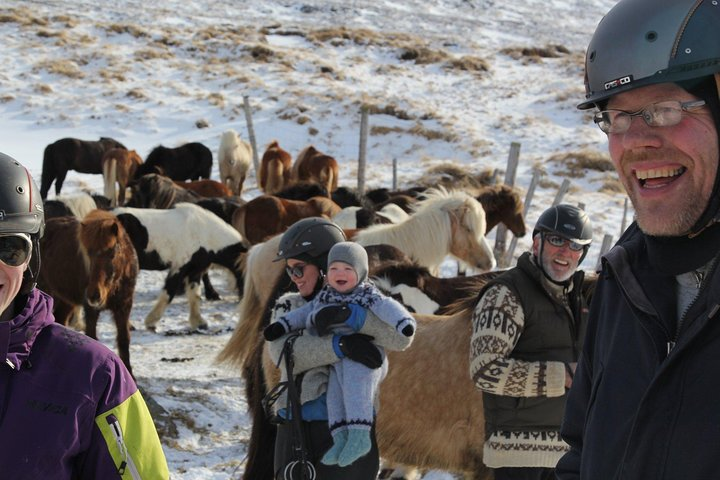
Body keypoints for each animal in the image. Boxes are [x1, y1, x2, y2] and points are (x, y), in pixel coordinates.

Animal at [37, 210, 139, 374]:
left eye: (112, 252)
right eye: (89, 253)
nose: (94, 294)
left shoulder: (124, 307)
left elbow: (124, 340)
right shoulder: (91, 310)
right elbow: (92, 336)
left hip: (66, 300)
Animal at [112, 203, 247, 331]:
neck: (203, 233)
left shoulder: (195, 271)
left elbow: (194, 296)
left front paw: (199, 323)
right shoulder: (179, 268)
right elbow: (169, 293)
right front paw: (151, 322)